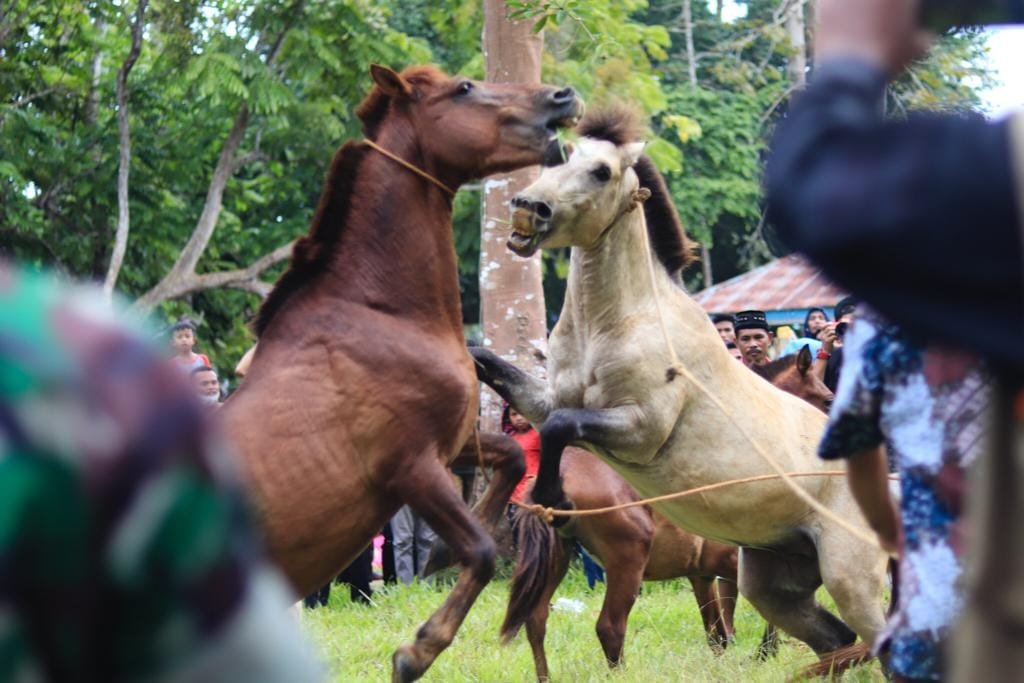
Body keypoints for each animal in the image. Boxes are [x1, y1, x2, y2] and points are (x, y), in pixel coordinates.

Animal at [220, 65, 581, 683]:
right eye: (463, 89)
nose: (562, 95)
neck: (381, 312)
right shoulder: (410, 466)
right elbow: (482, 552)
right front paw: (416, 650)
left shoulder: (452, 444)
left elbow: (511, 458)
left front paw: (437, 553)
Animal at [501, 350, 831, 679]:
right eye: (828, 398)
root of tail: (561, 473)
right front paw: (766, 652)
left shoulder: (703, 574)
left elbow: (718, 635)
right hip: (628, 560)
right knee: (609, 627)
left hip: (558, 556)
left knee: (536, 620)